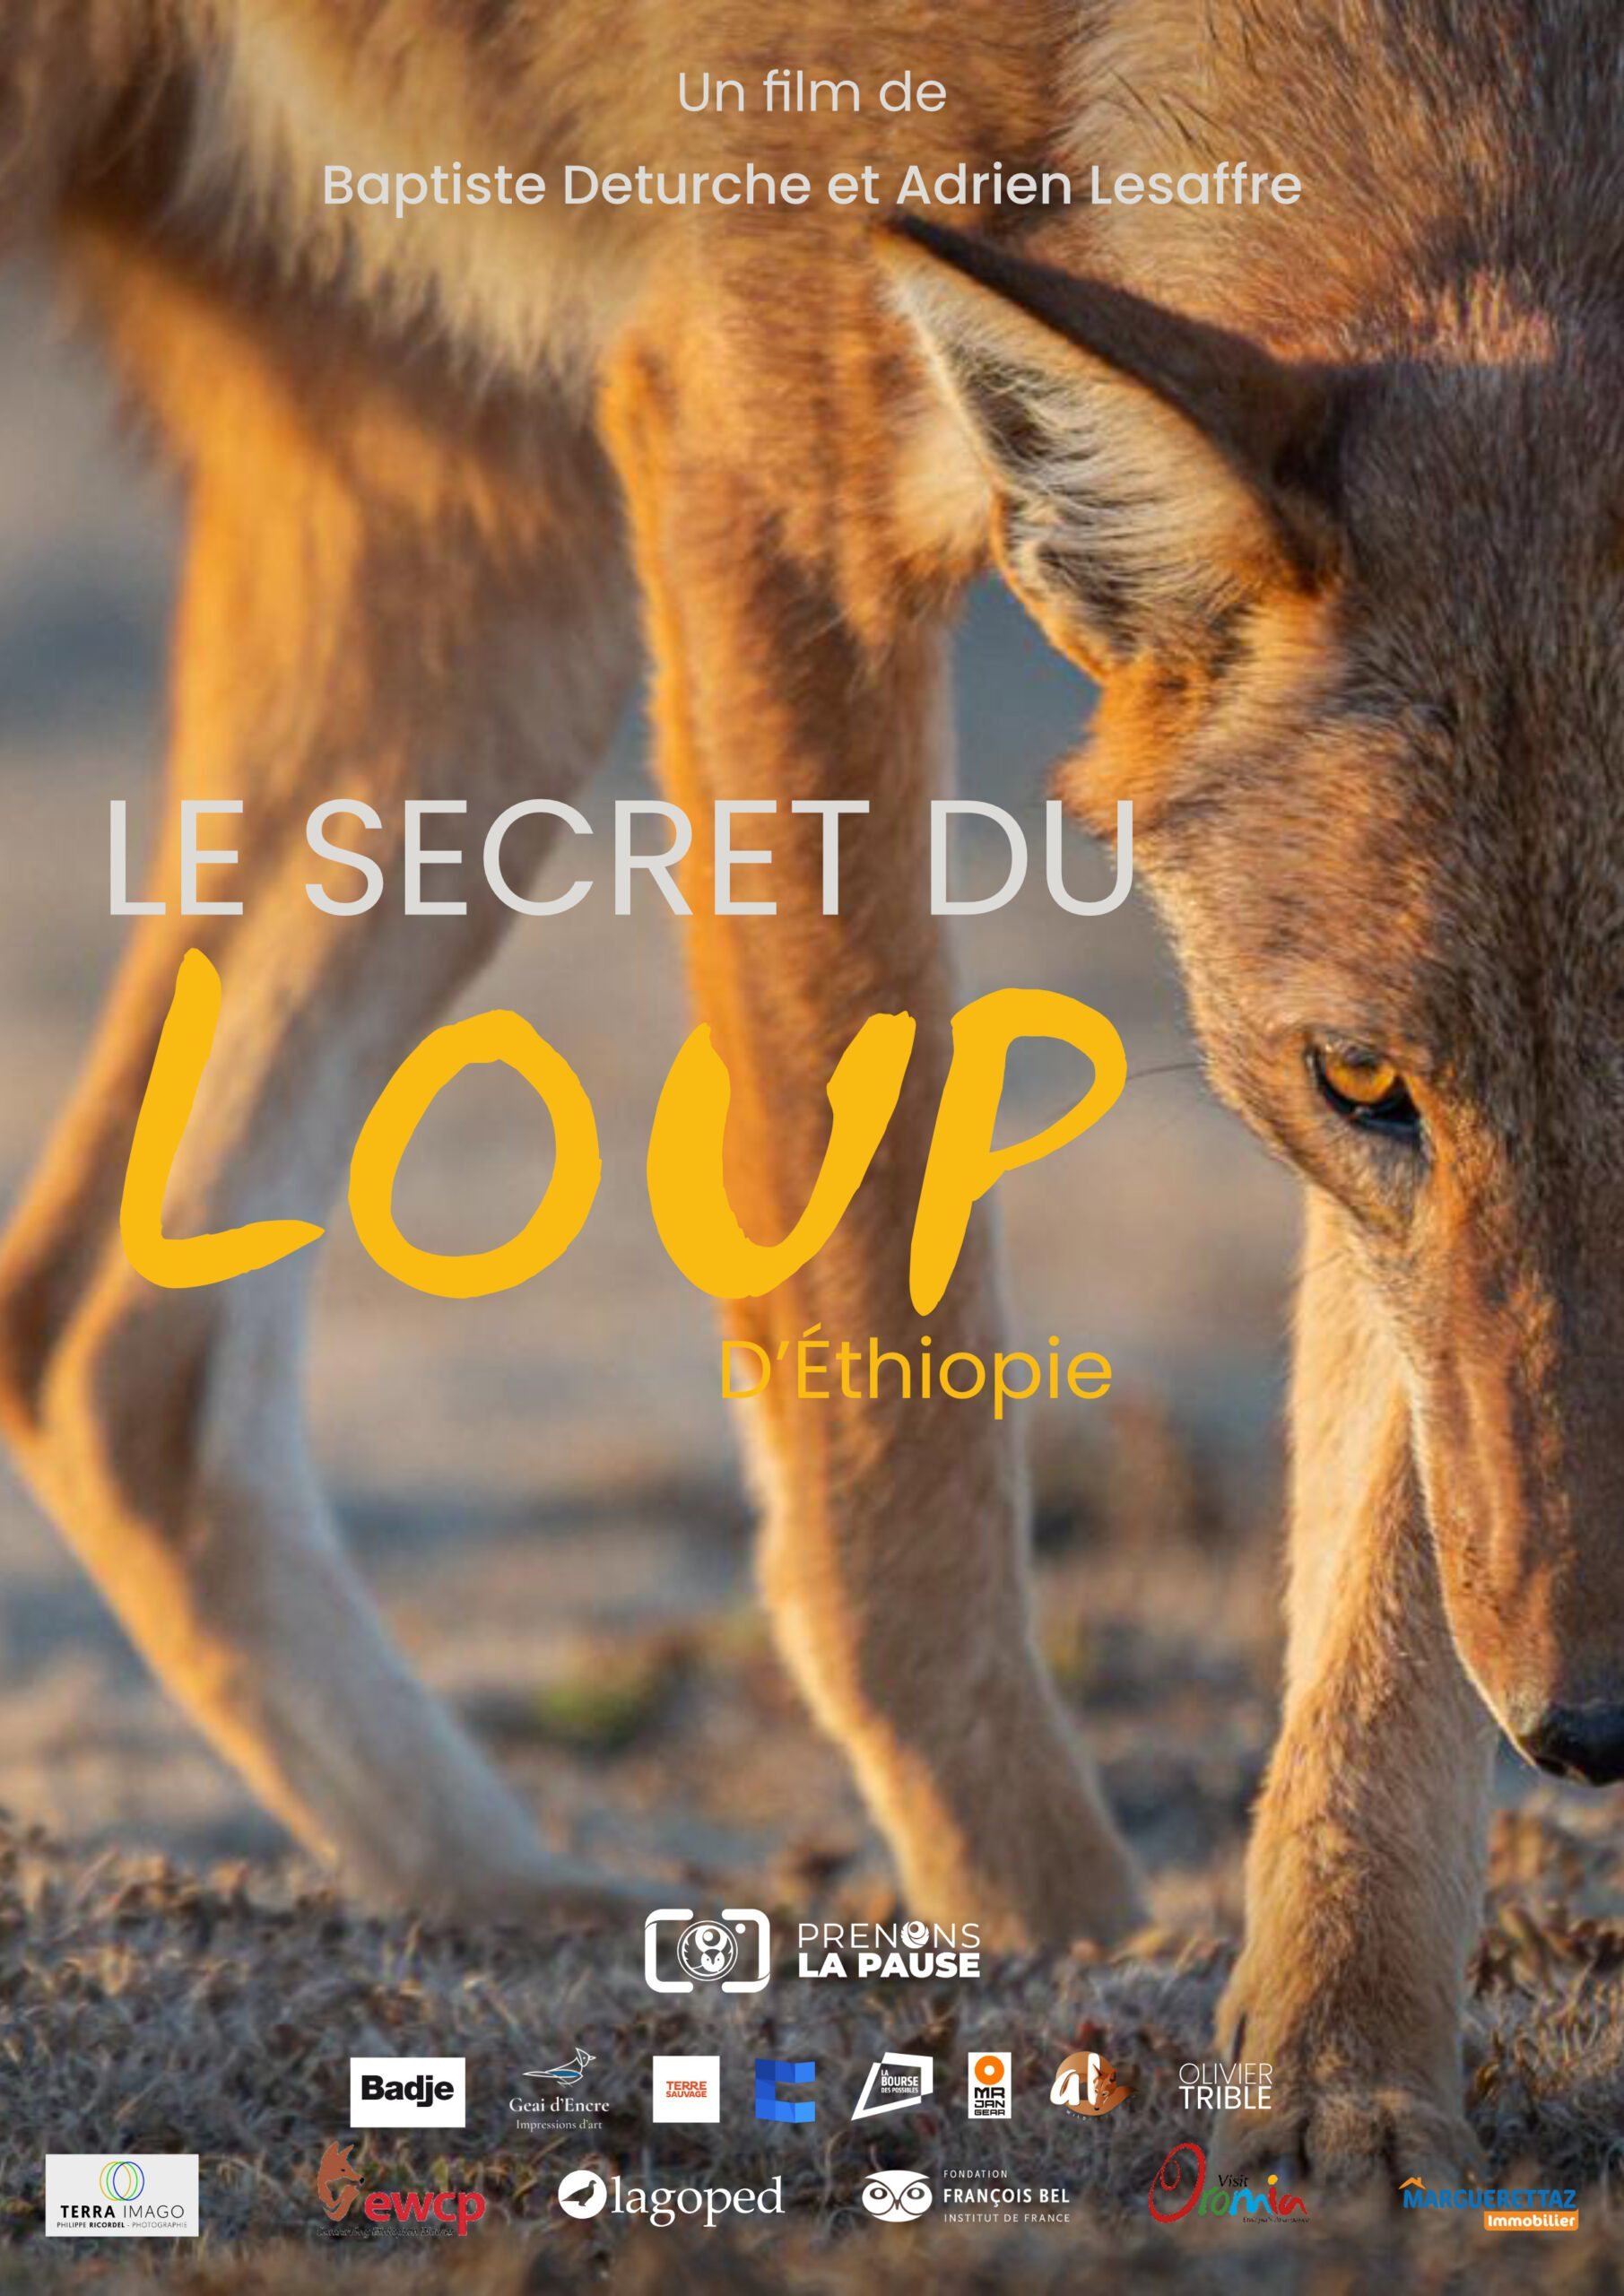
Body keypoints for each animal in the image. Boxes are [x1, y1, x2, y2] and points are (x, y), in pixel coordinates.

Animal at [0, 0, 1613, 2185]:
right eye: (1361, 1081)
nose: (1592, 1724)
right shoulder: (760, 454)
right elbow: (886, 1403)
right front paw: (1038, 1957)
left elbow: (1386, 1564)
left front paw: (1337, 2077)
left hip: (502, 611)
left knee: (101, 1343)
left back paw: (506, 1912)